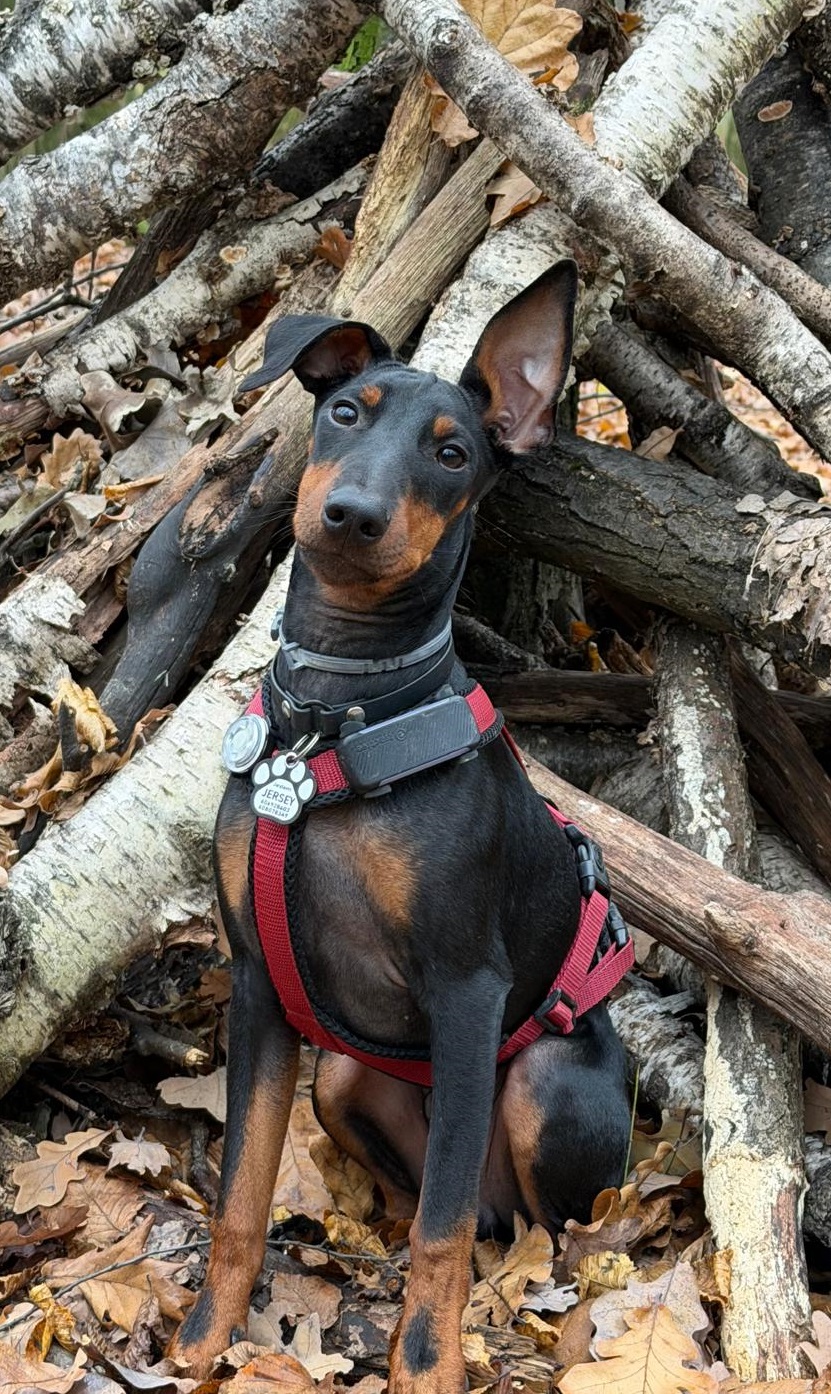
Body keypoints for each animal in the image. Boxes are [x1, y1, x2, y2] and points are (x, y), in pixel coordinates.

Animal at [171, 261, 631, 1391]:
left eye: (452, 452)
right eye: (345, 411)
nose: (351, 514)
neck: (334, 717)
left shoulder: (466, 990)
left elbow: (443, 1231)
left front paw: (425, 1363)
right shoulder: (259, 981)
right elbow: (240, 1190)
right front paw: (205, 1336)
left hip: (541, 1082)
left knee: (533, 1230)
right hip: (342, 1072)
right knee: (428, 1190)